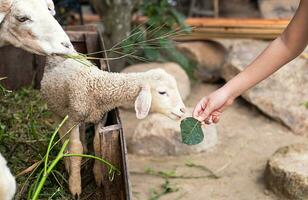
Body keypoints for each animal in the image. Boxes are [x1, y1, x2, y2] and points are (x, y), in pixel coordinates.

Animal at [40, 56, 185, 197]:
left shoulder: (101, 117)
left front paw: (98, 175)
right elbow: (76, 148)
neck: (97, 85)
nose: (183, 110)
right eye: (162, 92)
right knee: (62, 134)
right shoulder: (73, 119)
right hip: (56, 110)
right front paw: (75, 185)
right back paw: (67, 161)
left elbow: (97, 144)